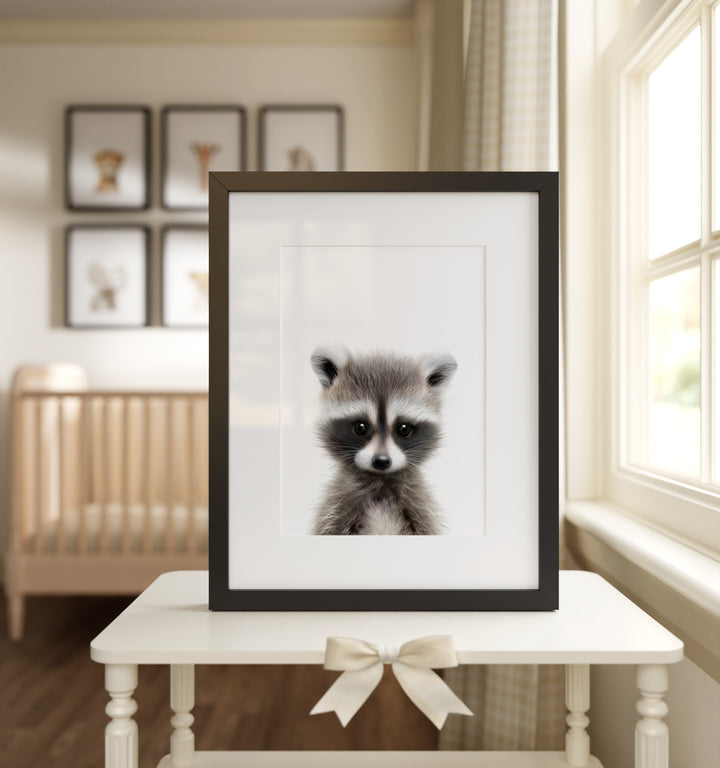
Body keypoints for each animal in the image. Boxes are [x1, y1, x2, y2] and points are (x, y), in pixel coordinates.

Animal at [310, 347, 457, 535]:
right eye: (360, 427)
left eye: (404, 429)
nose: (381, 461)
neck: (381, 482)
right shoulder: (338, 504)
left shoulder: (419, 505)